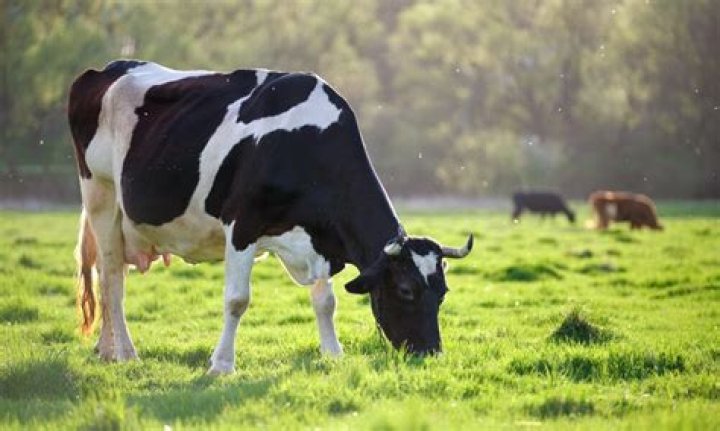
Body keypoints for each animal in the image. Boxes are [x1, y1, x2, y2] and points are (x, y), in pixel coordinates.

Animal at [68, 60, 473, 374]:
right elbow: (237, 300)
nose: (430, 353)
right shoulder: (242, 226)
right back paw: (126, 354)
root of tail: (106, 69)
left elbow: (326, 302)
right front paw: (222, 365)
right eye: (405, 290)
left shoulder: (320, 238)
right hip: (100, 195)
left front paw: (333, 354)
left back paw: (106, 350)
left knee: (108, 273)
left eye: (443, 292)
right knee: (112, 278)